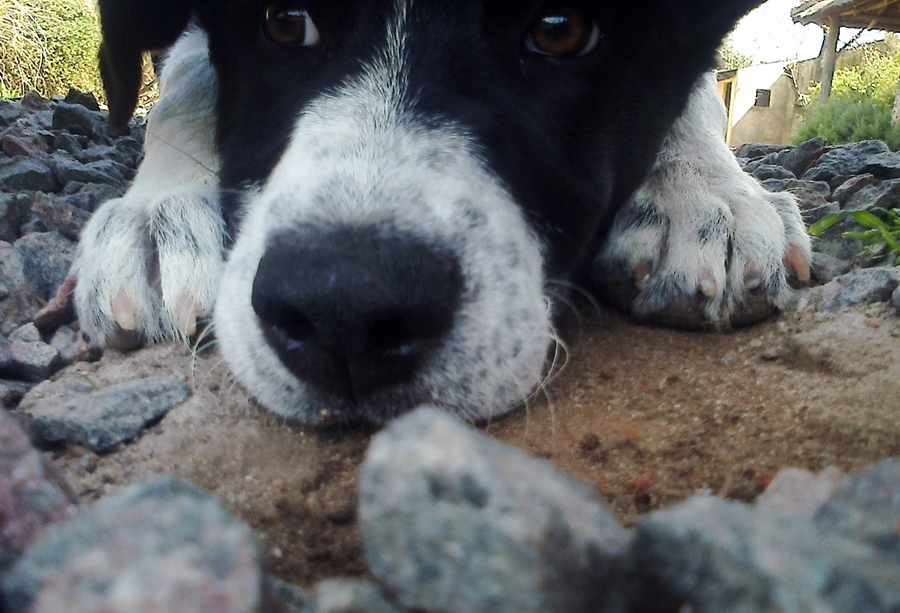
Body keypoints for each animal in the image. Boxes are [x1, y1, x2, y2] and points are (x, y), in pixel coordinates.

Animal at [74, 0, 812, 426]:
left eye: (560, 30)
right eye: (284, 21)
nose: (345, 311)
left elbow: (694, 83)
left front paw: (703, 194)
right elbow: (187, 78)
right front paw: (158, 214)